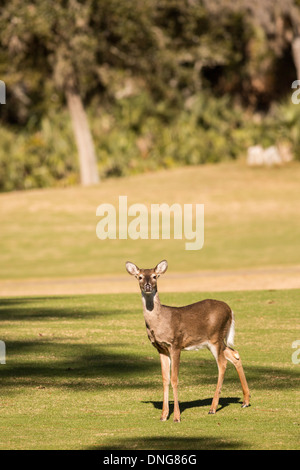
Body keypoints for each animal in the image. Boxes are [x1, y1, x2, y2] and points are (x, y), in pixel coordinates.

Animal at [125, 260, 250, 422]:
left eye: (154, 276)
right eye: (139, 276)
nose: (147, 286)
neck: (159, 322)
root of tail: (231, 311)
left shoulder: (176, 344)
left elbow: (174, 379)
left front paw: (176, 416)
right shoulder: (160, 348)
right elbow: (165, 379)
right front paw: (163, 415)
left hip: (215, 338)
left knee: (222, 363)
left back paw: (213, 408)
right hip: (216, 341)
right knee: (234, 354)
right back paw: (245, 401)